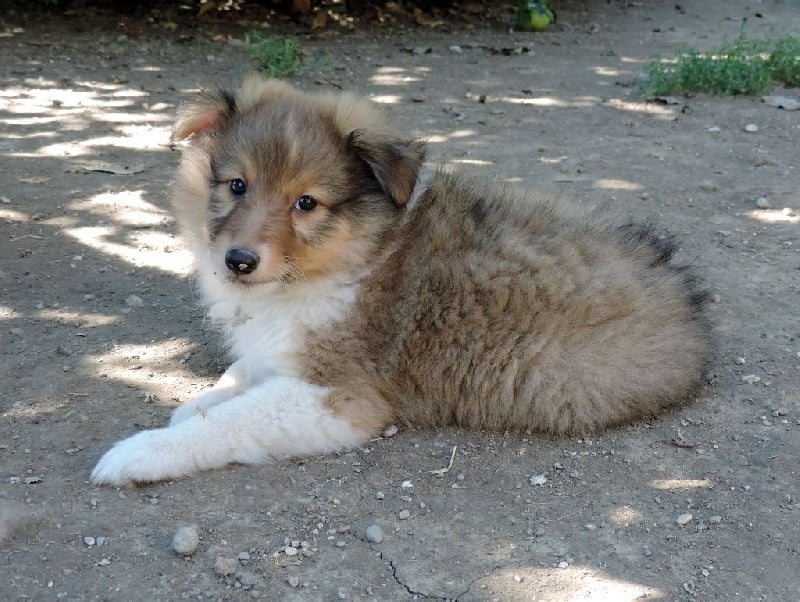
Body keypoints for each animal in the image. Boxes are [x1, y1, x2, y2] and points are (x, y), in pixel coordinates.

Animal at [91, 75, 710, 485]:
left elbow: (236, 420)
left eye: (306, 203)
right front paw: (198, 401)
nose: (238, 261)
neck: (341, 264)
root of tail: (689, 292)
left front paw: (141, 451)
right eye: (237, 185)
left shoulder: (342, 396)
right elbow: (239, 373)